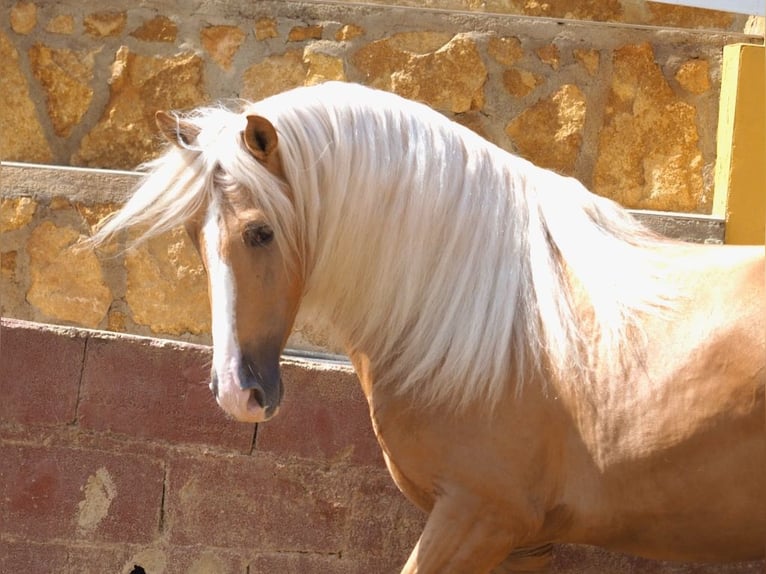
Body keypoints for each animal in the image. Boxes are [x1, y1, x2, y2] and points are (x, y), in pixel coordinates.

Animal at [93, 82, 764, 574]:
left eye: (259, 231)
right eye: (193, 236)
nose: (238, 392)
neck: (501, 328)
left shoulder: (476, 518)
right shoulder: (526, 543)